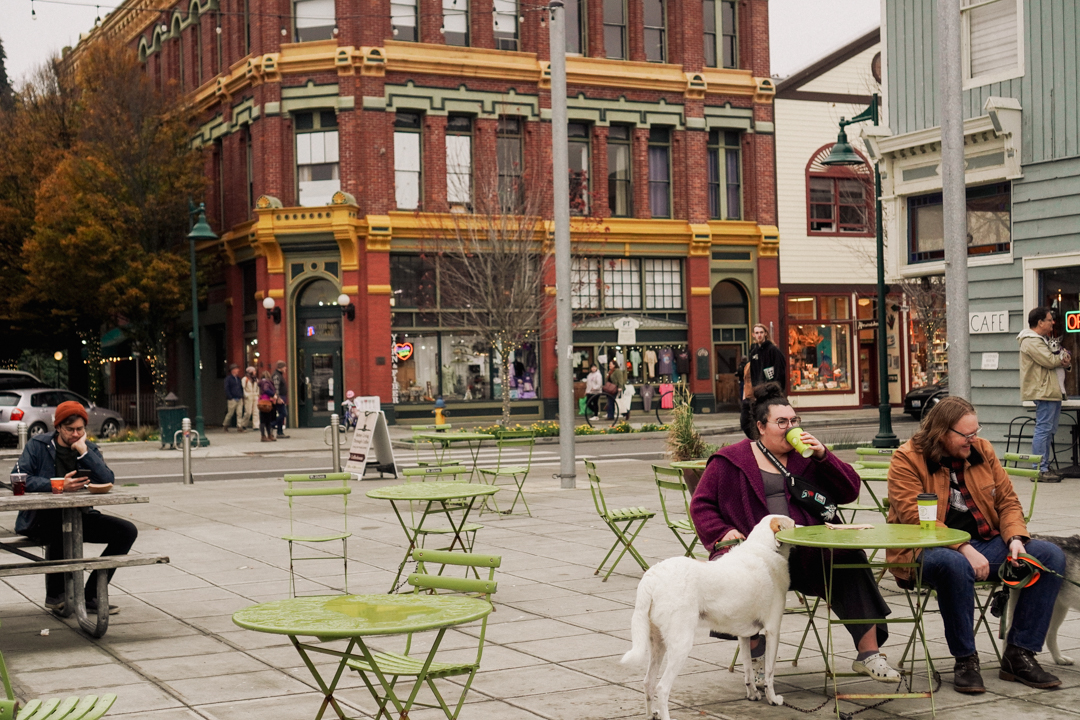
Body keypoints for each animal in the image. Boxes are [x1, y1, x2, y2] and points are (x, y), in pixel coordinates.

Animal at [617, 515, 794, 716]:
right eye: (793, 524)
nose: (801, 525)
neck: (765, 547)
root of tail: (651, 578)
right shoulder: (773, 631)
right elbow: (770, 673)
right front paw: (773, 699)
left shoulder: (743, 635)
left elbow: (748, 668)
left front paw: (752, 694)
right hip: (681, 644)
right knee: (662, 688)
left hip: (658, 644)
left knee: (648, 683)